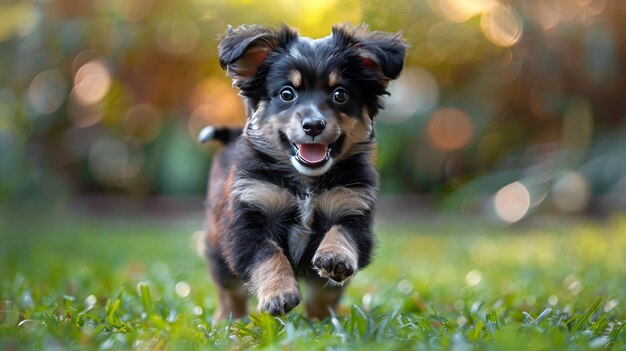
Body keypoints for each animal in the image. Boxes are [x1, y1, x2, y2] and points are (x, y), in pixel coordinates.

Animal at [200, 24, 404, 322]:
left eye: (340, 94)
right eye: (287, 94)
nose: (314, 125)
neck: (306, 183)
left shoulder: (353, 209)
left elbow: (342, 235)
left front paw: (335, 259)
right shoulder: (246, 222)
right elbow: (268, 255)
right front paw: (278, 294)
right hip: (217, 248)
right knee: (230, 291)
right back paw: (230, 320)